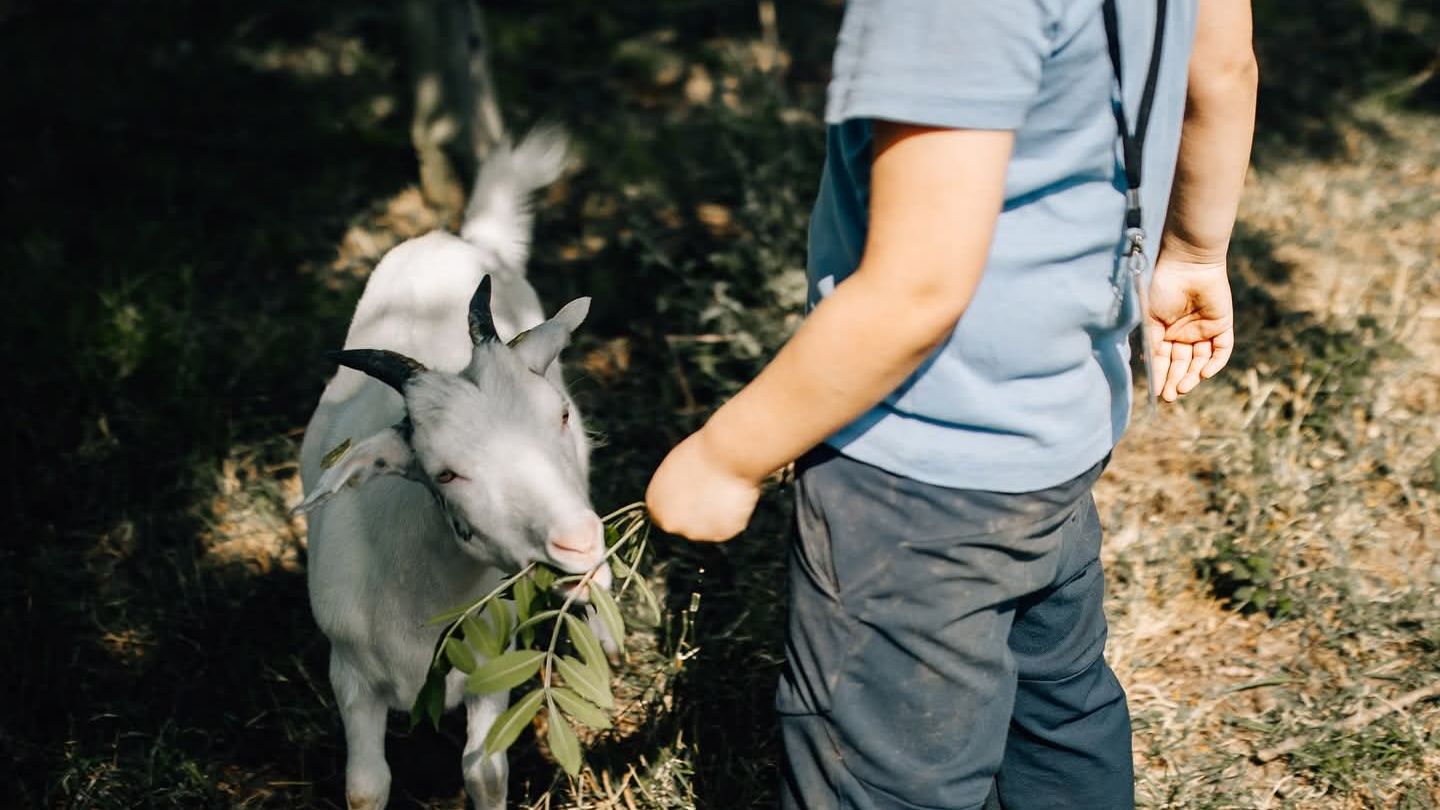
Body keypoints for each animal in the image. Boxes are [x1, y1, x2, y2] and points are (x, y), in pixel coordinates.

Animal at [294, 127, 611, 810]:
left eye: (559, 415)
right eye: (444, 473)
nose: (578, 544)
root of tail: (462, 238)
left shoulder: (492, 663)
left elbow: (484, 771)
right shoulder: (349, 674)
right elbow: (366, 788)